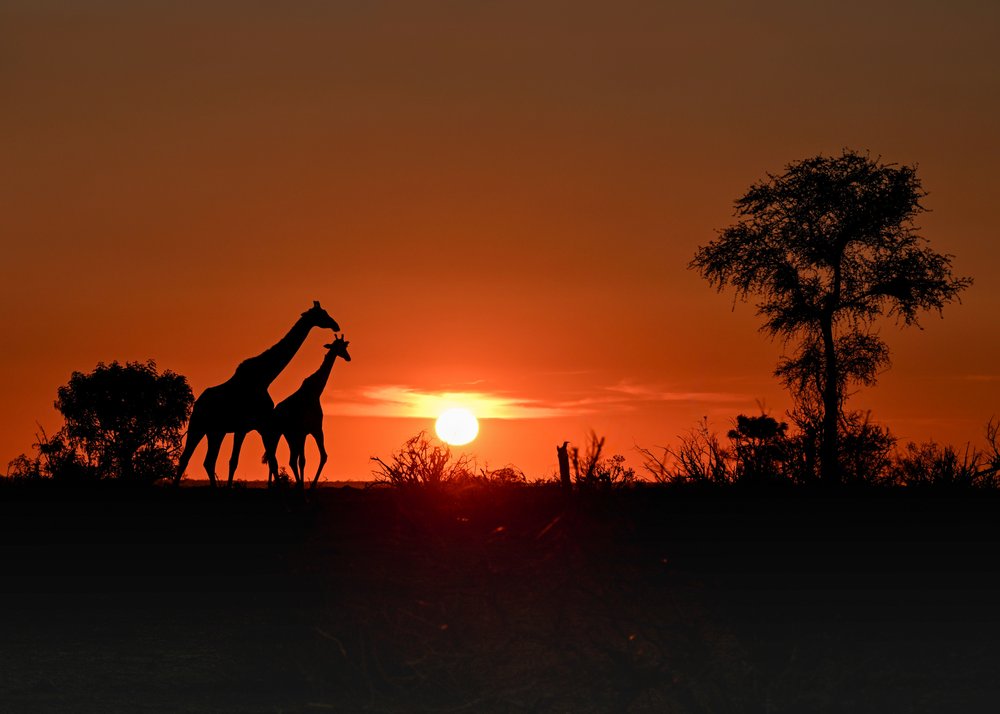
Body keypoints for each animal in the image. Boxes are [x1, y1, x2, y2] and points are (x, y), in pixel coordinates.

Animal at [175, 301, 340, 486]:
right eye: (322, 314)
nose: (336, 325)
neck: (264, 377)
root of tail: (197, 403)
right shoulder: (243, 426)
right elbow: (235, 461)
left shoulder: (261, 425)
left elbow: (272, 460)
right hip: (197, 425)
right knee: (186, 459)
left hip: (215, 431)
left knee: (208, 461)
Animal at [263, 334, 351, 490]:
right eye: (338, 346)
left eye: (345, 346)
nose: (348, 357)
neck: (315, 392)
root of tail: (273, 414)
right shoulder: (309, 430)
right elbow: (311, 459)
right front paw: (306, 487)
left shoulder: (309, 431)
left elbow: (312, 458)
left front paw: (307, 486)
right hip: (279, 433)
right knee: (277, 458)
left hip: (288, 434)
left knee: (285, 459)